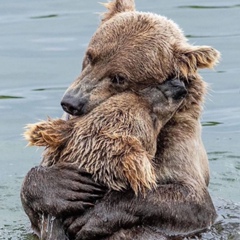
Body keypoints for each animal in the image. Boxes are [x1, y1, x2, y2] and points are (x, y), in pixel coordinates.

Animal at [20, 0, 219, 239]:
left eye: (119, 77)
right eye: (90, 56)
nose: (71, 102)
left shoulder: (179, 143)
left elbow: (191, 199)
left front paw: (94, 217)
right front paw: (65, 186)